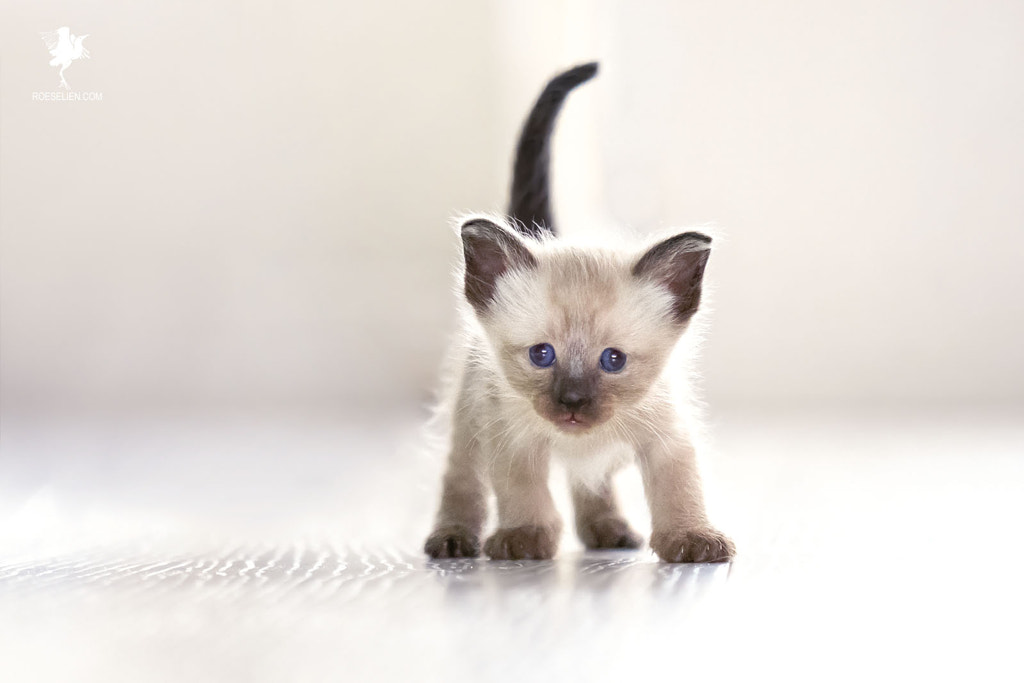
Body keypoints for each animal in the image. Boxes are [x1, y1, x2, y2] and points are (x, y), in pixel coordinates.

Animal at [423, 63, 737, 565]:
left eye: (614, 360)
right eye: (541, 355)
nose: (571, 402)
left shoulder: (668, 438)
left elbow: (680, 490)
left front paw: (692, 537)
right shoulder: (511, 440)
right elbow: (523, 493)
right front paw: (525, 537)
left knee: (592, 483)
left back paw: (609, 530)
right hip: (470, 425)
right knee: (462, 481)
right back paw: (452, 539)